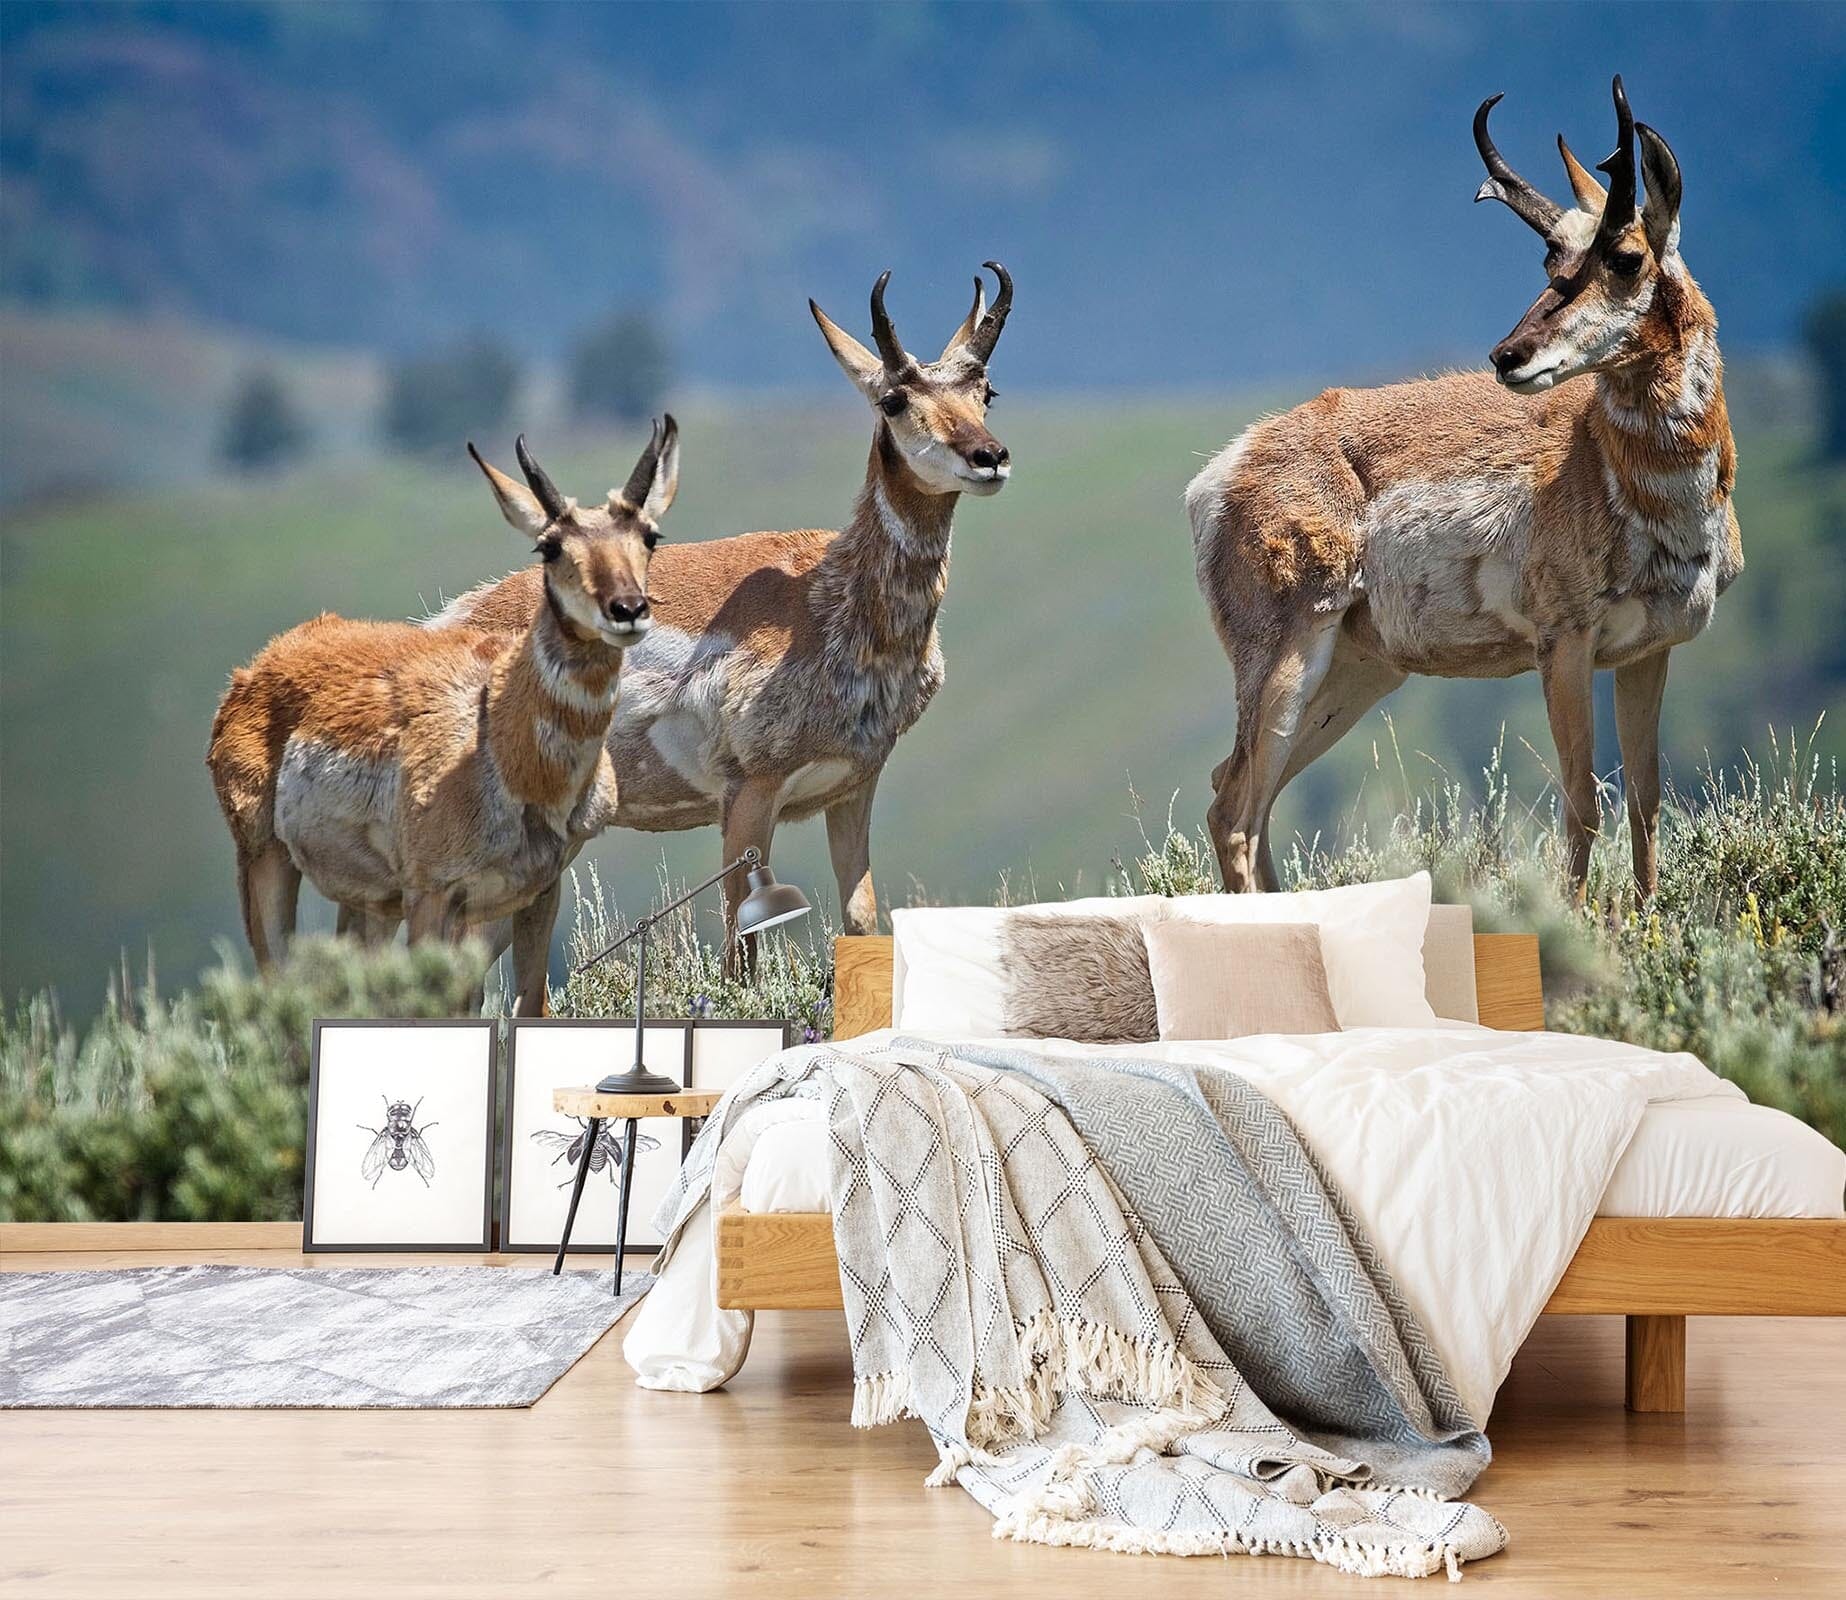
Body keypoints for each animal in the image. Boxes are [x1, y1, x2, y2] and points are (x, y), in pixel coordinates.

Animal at [206, 424, 679, 1013]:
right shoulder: (432, 898)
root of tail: (263, 662)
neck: (498, 739)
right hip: (265, 859)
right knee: (279, 984)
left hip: (369, 902)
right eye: (549, 546)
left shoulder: (537, 894)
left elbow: (529, 1005)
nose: (628, 609)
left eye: (649, 536)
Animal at [435, 265, 1012, 953]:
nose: (990, 457)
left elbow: (861, 917)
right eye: (893, 400)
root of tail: (448, 620)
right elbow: (743, 936)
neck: (829, 598)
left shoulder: (853, 787)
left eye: (987, 390)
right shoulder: (748, 797)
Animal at [1188, 77, 1738, 900]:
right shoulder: (1563, 642)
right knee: (1232, 810)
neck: (1615, 469)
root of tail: (1225, 468)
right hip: (1287, 655)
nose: (1509, 355)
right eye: (1550, 258)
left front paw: (1640, 919)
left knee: (1247, 796)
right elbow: (1583, 805)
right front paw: (1578, 924)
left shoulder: (1647, 651)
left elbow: (1645, 803)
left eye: (1626, 256)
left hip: (1356, 673)